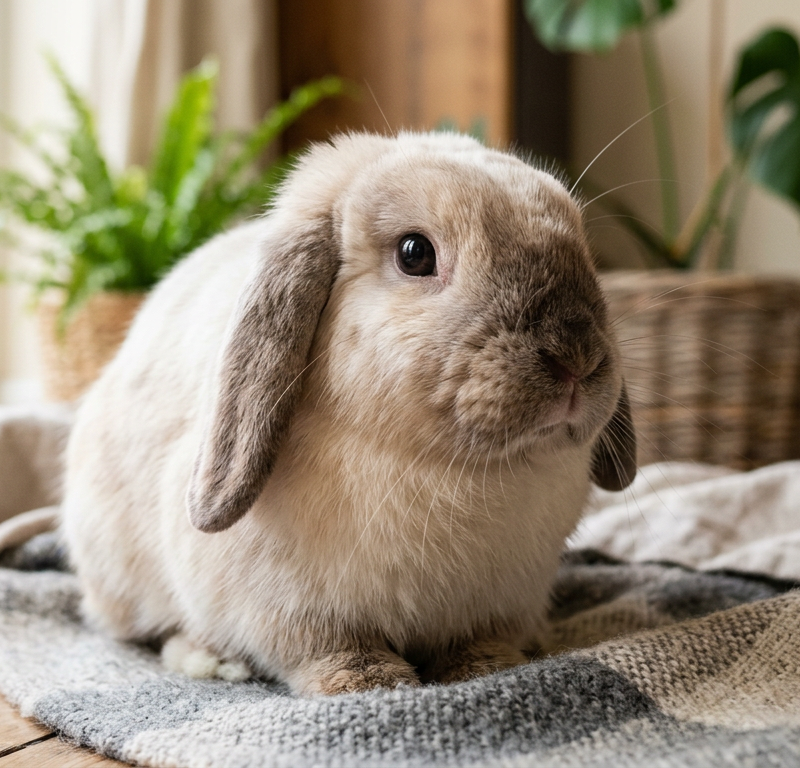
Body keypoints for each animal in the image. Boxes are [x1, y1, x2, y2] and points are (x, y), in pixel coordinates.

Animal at [60, 131, 636, 695]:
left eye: (582, 248)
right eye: (414, 253)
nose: (576, 359)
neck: (454, 468)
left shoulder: (500, 602)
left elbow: (478, 642)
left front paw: (488, 669)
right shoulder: (290, 608)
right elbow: (327, 648)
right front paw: (368, 684)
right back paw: (210, 659)